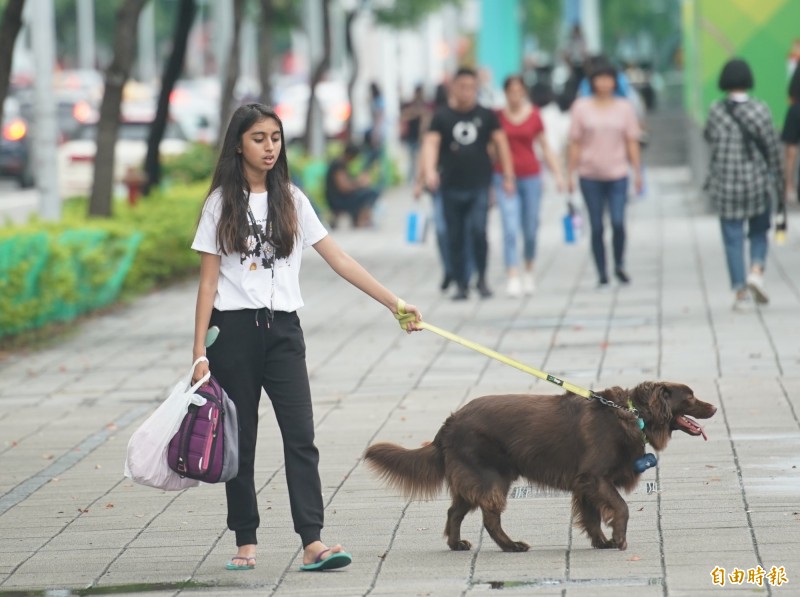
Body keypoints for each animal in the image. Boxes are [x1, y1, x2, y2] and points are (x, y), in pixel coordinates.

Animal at [366, 382, 716, 548]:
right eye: (690, 396)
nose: (713, 407)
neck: (631, 413)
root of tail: (449, 422)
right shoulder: (595, 477)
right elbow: (621, 508)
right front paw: (618, 540)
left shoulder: (584, 483)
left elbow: (591, 516)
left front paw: (601, 543)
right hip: (490, 477)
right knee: (490, 518)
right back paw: (511, 547)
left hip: (474, 478)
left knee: (455, 511)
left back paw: (457, 545)